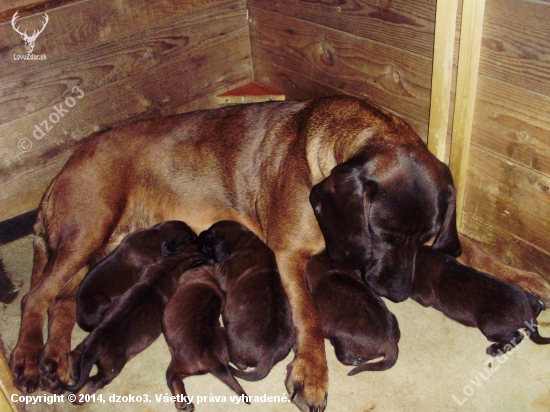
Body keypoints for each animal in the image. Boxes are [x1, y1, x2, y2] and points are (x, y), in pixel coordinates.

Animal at [65, 253, 203, 400]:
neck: (170, 267)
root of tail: (94, 347)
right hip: (111, 367)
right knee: (95, 381)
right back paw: (80, 396)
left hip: (87, 341)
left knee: (74, 353)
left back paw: (75, 376)